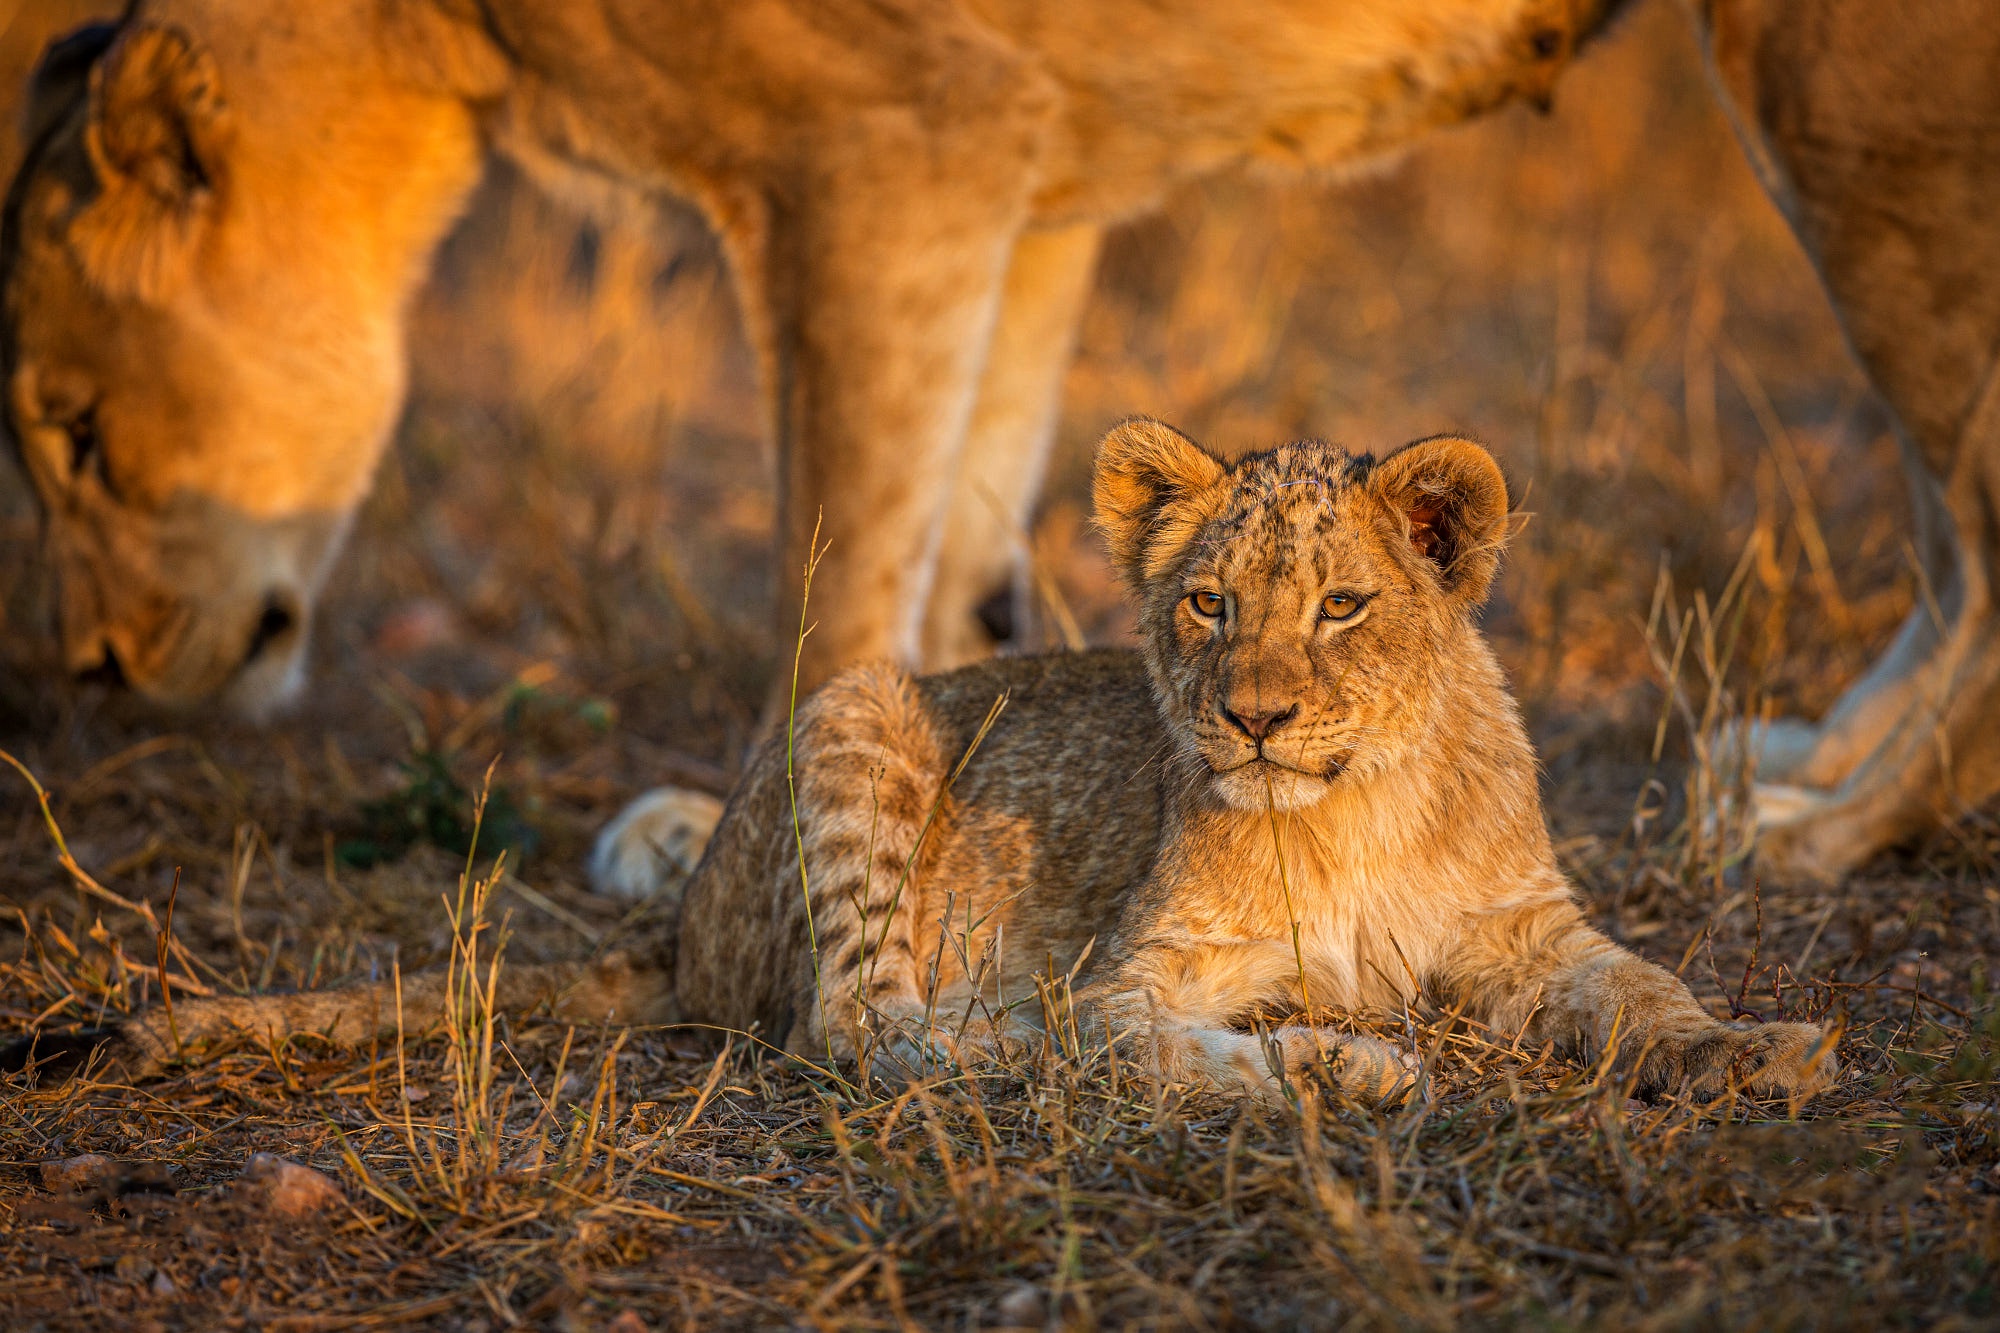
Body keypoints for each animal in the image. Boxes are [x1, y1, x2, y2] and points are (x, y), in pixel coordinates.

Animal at [0, 0, 1992, 876]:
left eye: (76, 433)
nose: (93, 667)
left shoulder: (882, 145)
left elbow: (838, 546)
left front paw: (741, 839)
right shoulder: (1025, 170)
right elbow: (963, 513)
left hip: (1849, 81)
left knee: (1976, 486)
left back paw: (1827, 831)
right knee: (1947, 512)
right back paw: (1804, 758)